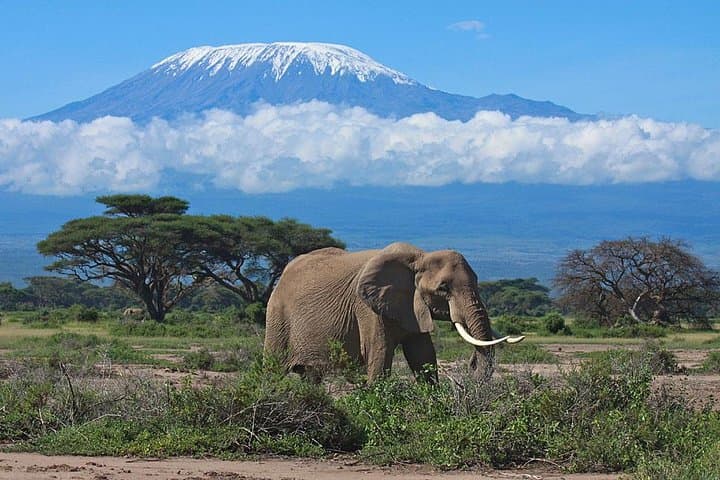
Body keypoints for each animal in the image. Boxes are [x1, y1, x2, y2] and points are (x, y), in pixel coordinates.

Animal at [264, 242, 524, 383]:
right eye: (443, 288)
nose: (470, 364)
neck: (419, 258)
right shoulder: (366, 308)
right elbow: (379, 356)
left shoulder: (412, 306)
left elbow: (423, 356)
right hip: (277, 315)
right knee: (273, 369)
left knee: (311, 377)